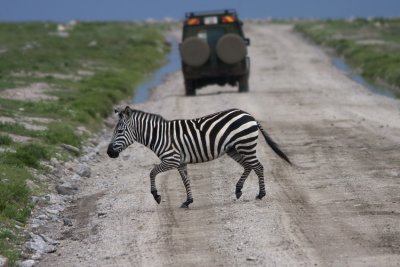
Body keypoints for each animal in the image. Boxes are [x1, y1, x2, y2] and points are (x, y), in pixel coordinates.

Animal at [107, 107, 290, 209]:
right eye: (115, 131)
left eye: (120, 131)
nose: (109, 153)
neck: (159, 136)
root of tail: (249, 115)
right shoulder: (181, 162)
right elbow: (185, 181)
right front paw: (188, 201)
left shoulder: (172, 159)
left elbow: (151, 172)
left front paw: (156, 196)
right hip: (234, 149)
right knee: (249, 166)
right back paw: (238, 190)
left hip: (245, 145)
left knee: (258, 167)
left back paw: (260, 194)